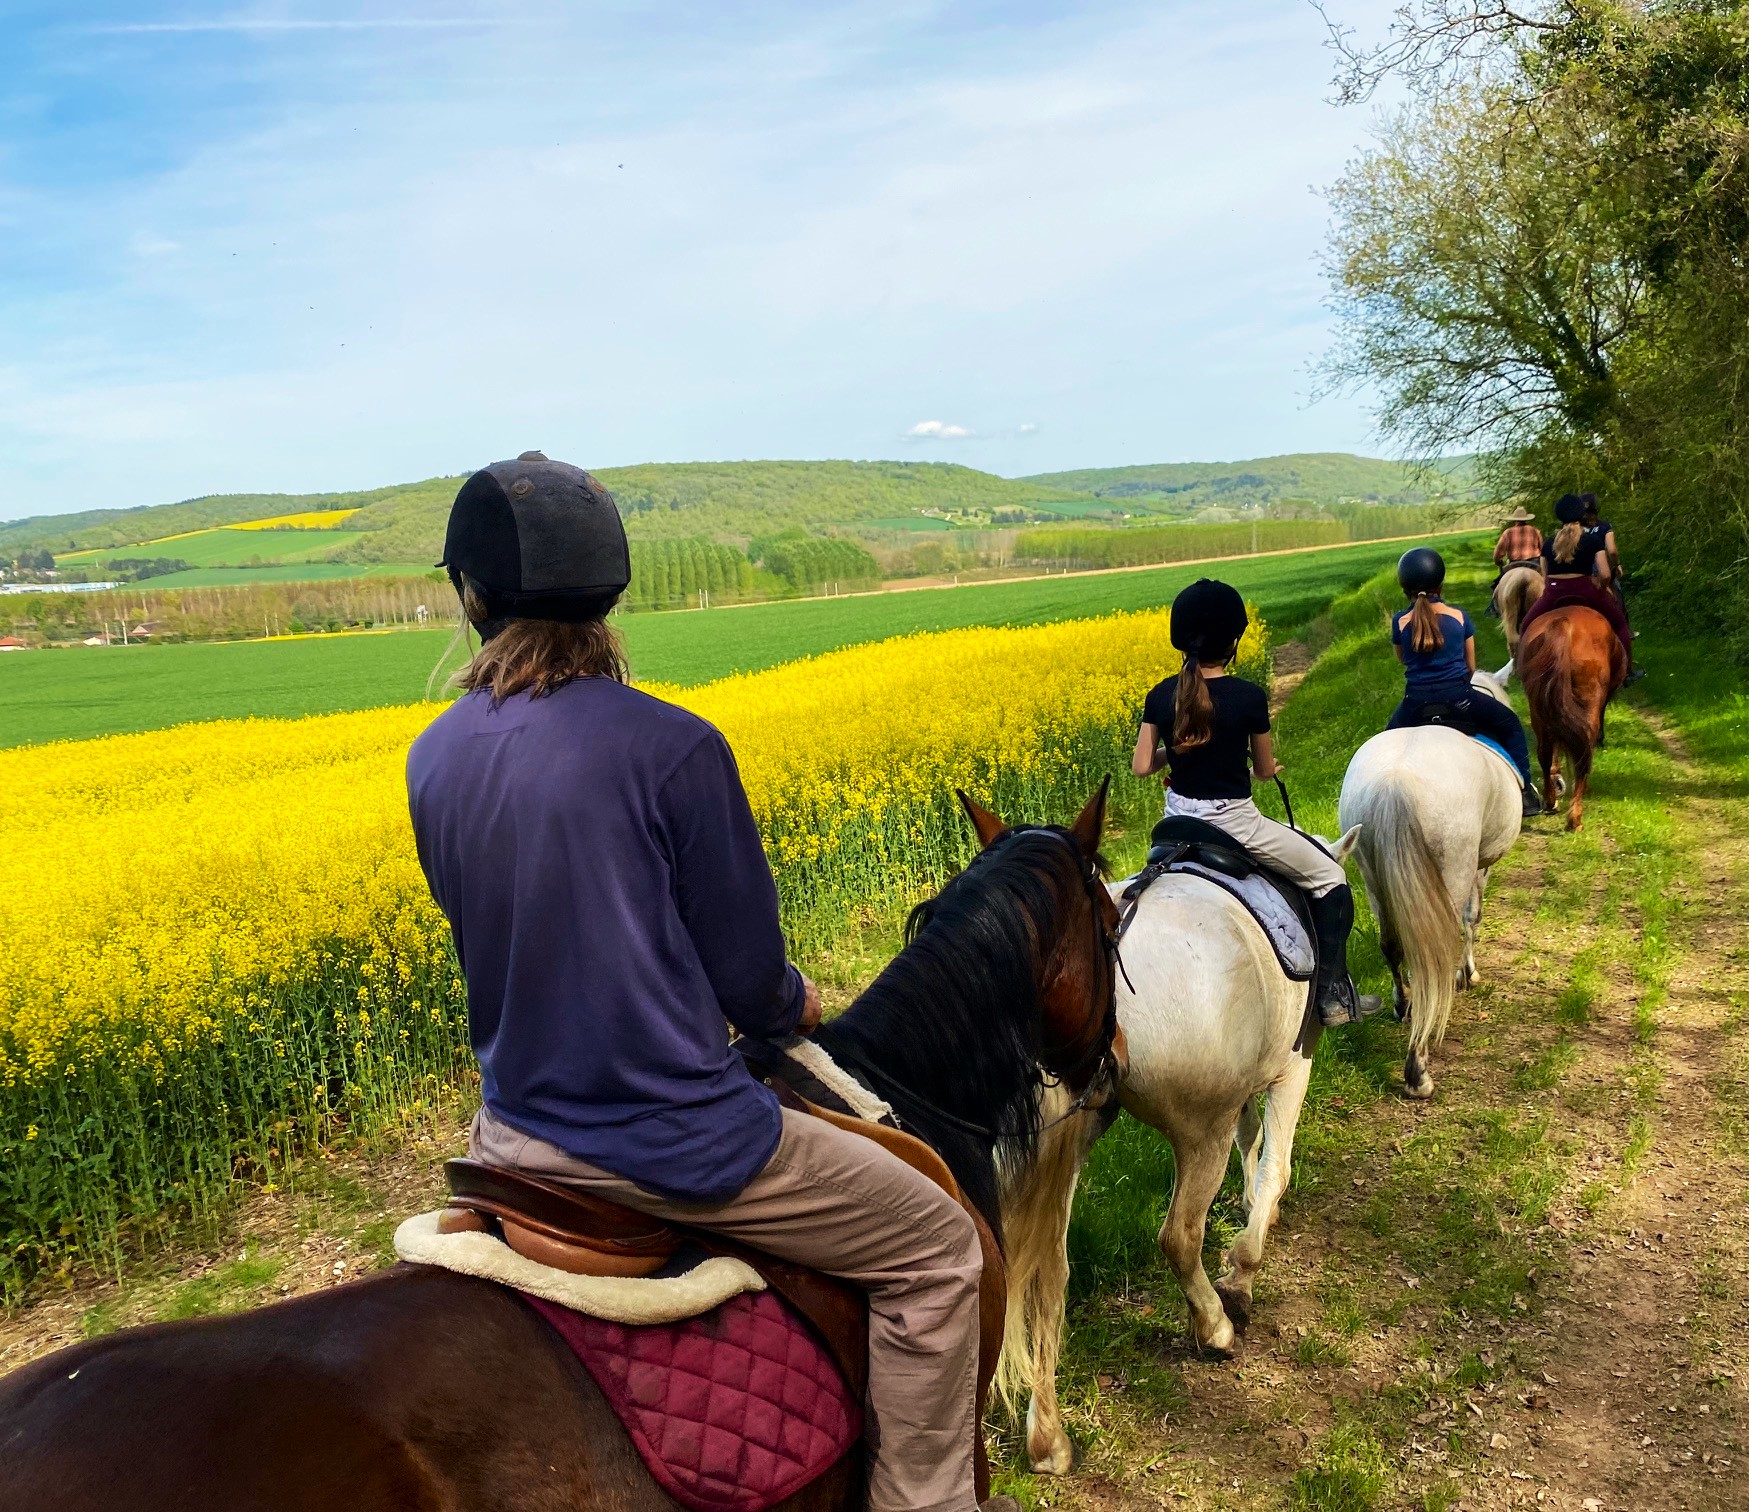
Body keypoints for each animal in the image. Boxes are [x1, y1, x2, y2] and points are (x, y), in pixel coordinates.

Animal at [993, 826, 1357, 1477]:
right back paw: (1215, 1327)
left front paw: (1247, 1212)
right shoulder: (1295, 1064)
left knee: (1048, 1274)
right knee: (1179, 1236)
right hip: (1198, 1130)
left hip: (1068, 1147)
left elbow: (1251, 1142)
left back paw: (1047, 1442)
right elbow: (1276, 1165)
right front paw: (1244, 1267)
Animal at [1336, 668, 1518, 1092]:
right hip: (1451, 869)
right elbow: (1473, 918)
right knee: (1435, 953)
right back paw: (1418, 1069)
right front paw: (1469, 974)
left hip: (1372, 876)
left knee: (1392, 945)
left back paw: (1403, 1005)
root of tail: (1394, 782)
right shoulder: (1479, 867)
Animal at [1525, 609, 1630, 833]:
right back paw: (1575, 819)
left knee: (1544, 752)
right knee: (1583, 754)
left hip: (1537, 708)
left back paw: (1551, 801)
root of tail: (1563, 624)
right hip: (1589, 703)